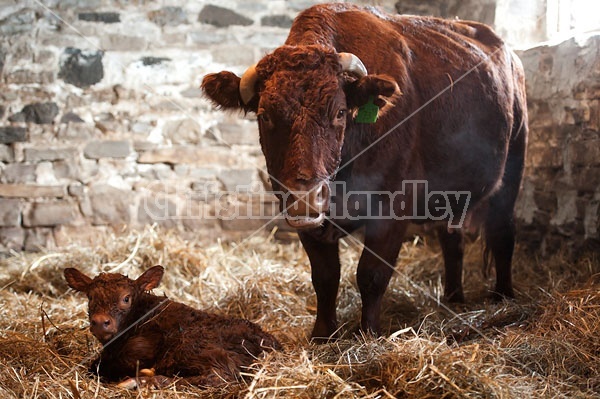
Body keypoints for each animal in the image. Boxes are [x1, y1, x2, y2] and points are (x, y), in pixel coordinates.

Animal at [65, 268, 282, 390]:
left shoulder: (141, 349)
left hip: (190, 346)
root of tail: (270, 342)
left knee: (220, 377)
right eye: (90, 297)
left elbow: (97, 366)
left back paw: (142, 382)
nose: (100, 321)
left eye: (126, 298)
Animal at [200, 2, 524, 340]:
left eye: (340, 112)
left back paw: (503, 297)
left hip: (512, 167)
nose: (305, 196)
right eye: (264, 115)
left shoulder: (392, 210)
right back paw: (453, 299)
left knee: (502, 232)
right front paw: (322, 334)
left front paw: (369, 333)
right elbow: (325, 276)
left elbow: (371, 274)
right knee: (452, 240)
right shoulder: (305, 219)